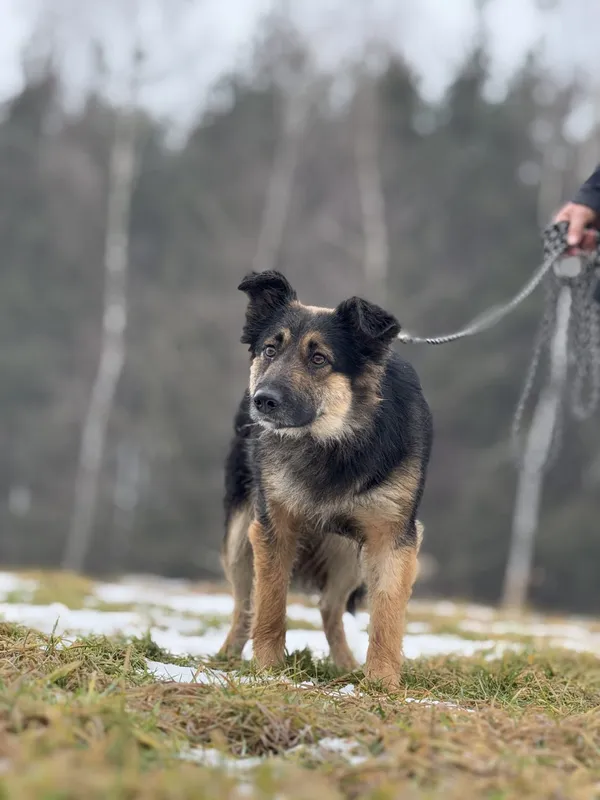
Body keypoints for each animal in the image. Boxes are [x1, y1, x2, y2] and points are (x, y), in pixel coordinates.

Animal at [219, 270, 432, 688]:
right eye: (270, 350)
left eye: (319, 359)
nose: (262, 401)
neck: (330, 442)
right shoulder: (273, 527)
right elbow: (270, 604)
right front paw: (270, 670)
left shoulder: (391, 538)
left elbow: (387, 617)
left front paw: (381, 683)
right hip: (239, 537)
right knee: (244, 606)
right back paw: (226, 658)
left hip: (349, 556)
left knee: (330, 609)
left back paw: (346, 665)